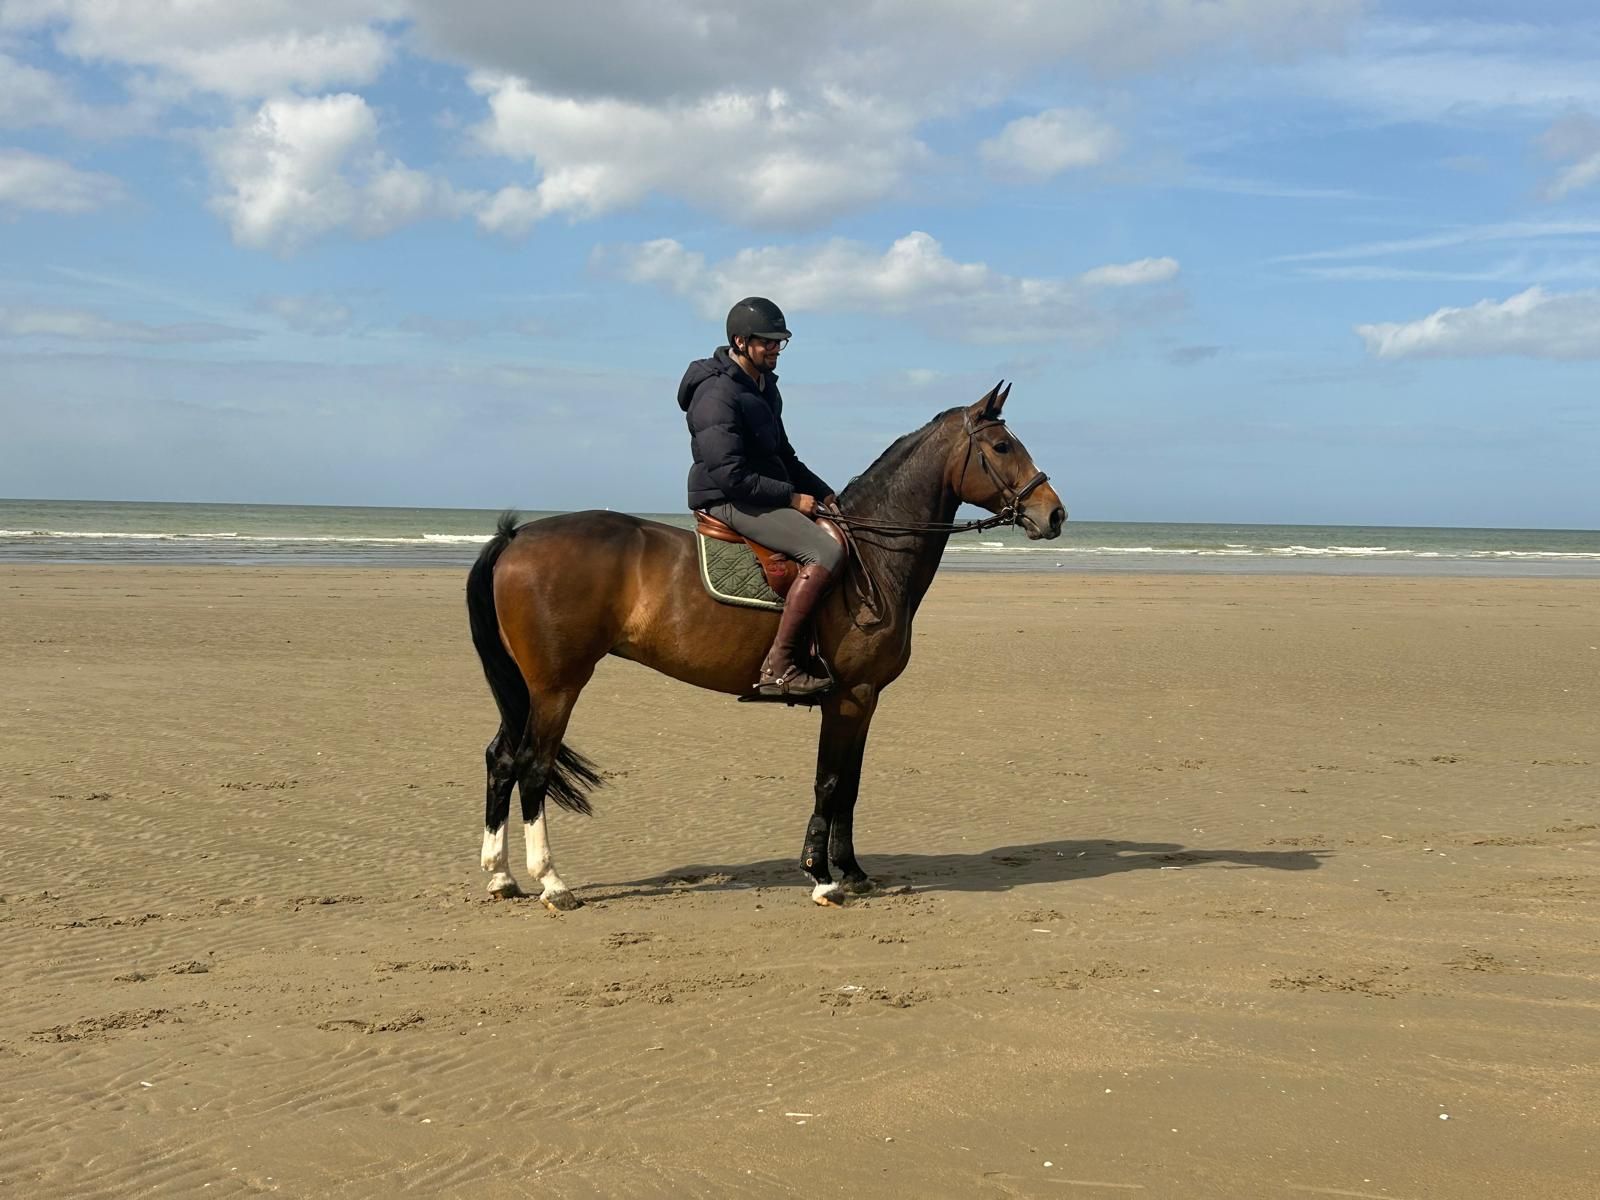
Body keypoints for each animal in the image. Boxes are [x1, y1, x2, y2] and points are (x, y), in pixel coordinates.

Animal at [465, 381, 1065, 909]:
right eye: (1002, 446)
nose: (1055, 513)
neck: (872, 556)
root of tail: (515, 537)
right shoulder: (849, 696)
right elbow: (829, 782)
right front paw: (822, 877)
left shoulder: (865, 699)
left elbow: (850, 785)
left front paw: (853, 872)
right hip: (557, 686)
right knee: (533, 766)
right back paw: (552, 883)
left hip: (528, 688)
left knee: (501, 758)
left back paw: (501, 877)